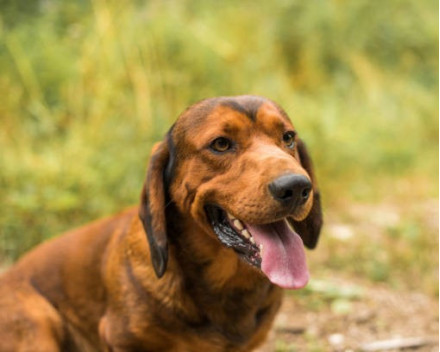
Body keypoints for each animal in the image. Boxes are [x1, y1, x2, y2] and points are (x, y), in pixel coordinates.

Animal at [0, 95, 324, 350]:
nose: (296, 187)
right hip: (37, 321)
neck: (225, 286)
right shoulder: (122, 340)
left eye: (288, 138)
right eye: (220, 144)